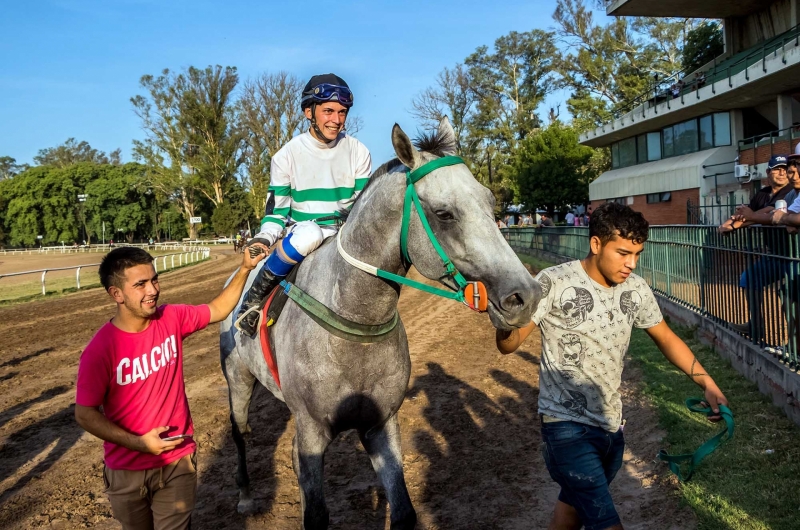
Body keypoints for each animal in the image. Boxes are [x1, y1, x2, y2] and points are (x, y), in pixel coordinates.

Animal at [222, 117, 540, 524]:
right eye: (444, 213)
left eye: (490, 201)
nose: (525, 295)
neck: (354, 325)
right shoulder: (310, 430)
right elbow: (315, 511)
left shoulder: (381, 424)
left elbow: (402, 509)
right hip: (238, 379)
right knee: (240, 432)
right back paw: (245, 495)